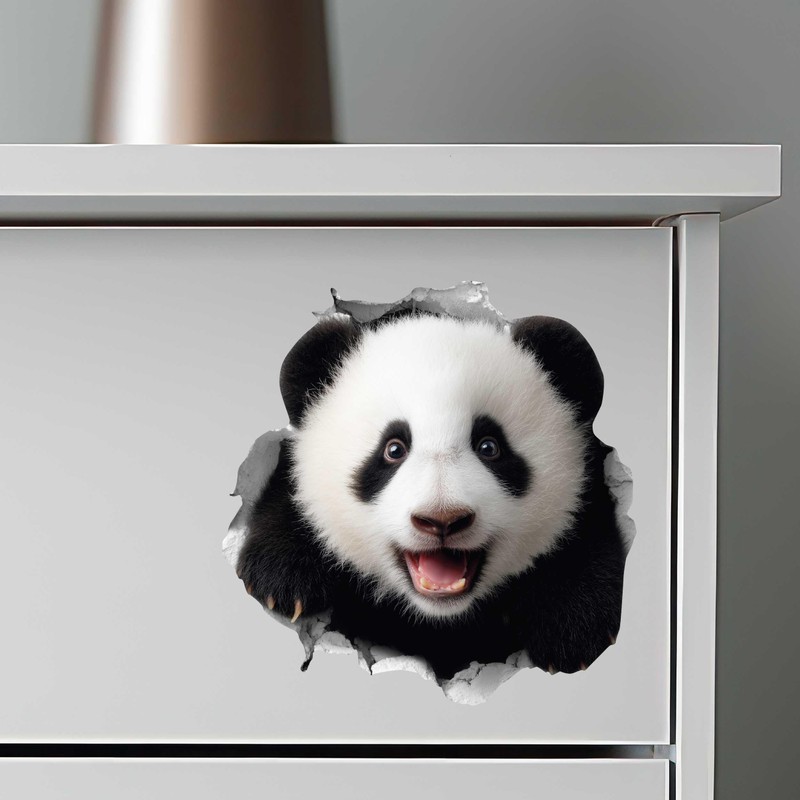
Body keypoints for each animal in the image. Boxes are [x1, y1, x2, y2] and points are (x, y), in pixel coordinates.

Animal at [237, 309, 628, 680]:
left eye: (490, 447)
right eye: (393, 449)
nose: (442, 519)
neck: (441, 618)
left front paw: (573, 629)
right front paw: (281, 577)